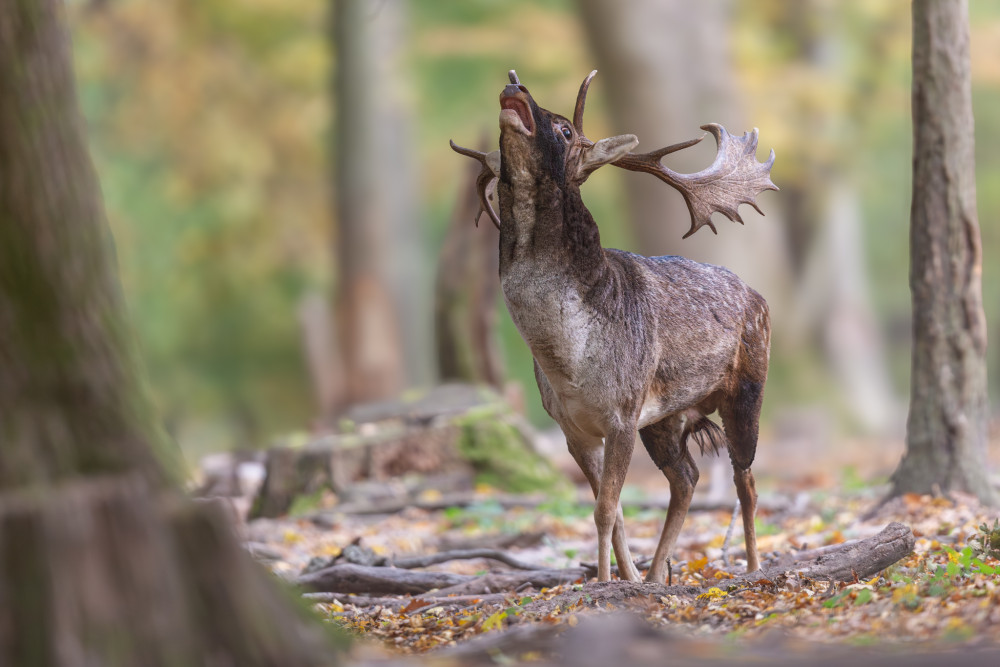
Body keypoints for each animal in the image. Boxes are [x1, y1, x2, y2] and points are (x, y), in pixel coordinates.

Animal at [450, 70, 776, 584]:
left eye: (565, 129)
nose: (515, 84)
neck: (569, 358)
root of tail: (759, 296)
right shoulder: (572, 428)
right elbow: (614, 510)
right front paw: (627, 578)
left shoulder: (622, 412)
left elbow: (605, 509)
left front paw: (606, 581)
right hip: (665, 419)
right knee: (687, 478)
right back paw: (659, 574)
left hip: (748, 386)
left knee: (746, 479)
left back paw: (753, 566)